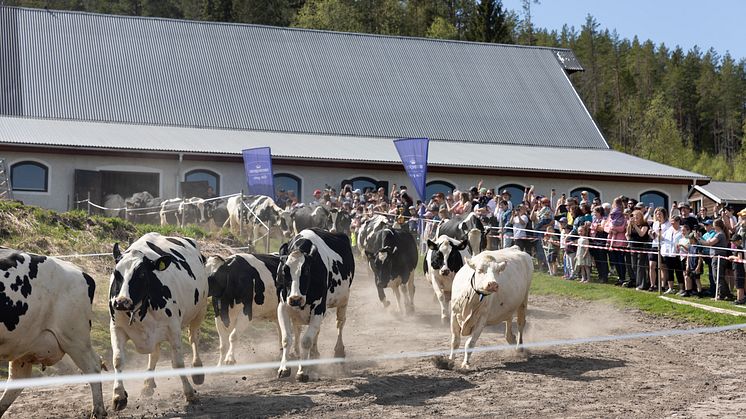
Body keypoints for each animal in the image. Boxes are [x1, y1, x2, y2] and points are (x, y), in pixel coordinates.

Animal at [0, 248, 106, 418]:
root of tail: (79, 271)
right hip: (24, 344)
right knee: (17, 380)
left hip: (74, 337)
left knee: (94, 365)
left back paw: (99, 410)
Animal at [107, 235, 208, 412]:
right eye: (116, 273)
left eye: (141, 274)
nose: (121, 302)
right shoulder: (116, 327)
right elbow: (118, 359)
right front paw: (118, 396)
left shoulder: (173, 328)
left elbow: (178, 363)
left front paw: (189, 393)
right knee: (155, 354)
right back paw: (148, 384)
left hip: (200, 310)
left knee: (194, 338)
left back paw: (197, 370)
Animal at [274, 228, 354, 382]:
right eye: (284, 271)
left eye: (306, 271)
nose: (295, 299)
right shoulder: (283, 306)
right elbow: (287, 339)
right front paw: (284, 368)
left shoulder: (319, 308)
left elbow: (306, 340)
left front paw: (302, 372)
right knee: (310, 330)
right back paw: (312, 355)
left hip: (344, 299)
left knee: (340, 323)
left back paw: (338, 352)